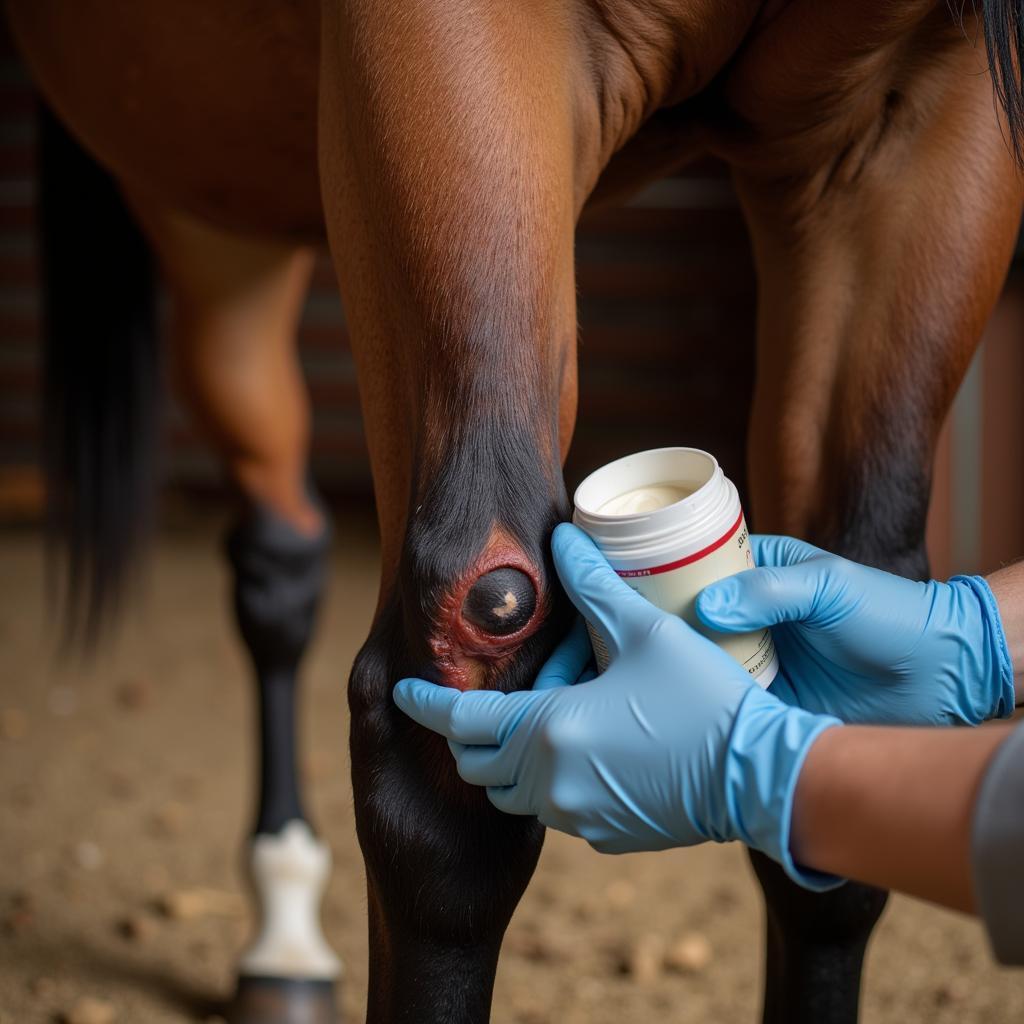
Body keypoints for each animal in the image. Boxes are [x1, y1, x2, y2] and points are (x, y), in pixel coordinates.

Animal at [8, 2, 1024, 1024]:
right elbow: (459, 766)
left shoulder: (915, 117)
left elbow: (846, 751)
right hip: (204, 203)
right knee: (282, 558)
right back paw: (283, 932)